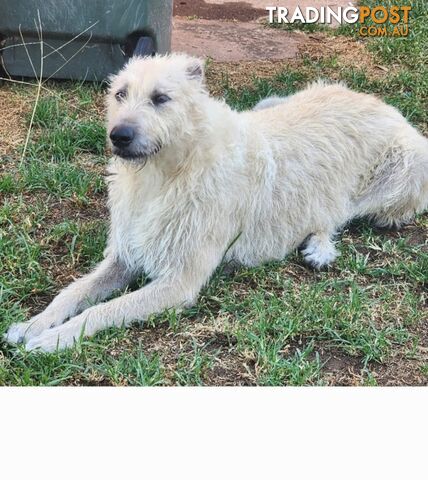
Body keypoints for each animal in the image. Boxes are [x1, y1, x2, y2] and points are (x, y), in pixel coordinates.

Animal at [5, 53, 428, 352]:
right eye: (120, 93)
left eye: (160, 98)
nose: (118, 135)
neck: (167, 173)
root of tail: (380, 103)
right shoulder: (124, 256)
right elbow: (74, 292)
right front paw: (33, 324)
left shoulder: (178, 283)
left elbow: (104, 310)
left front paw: (56, 339)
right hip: (269, 103)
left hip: (401, 172)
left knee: (342, 212)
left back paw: (320, 245)